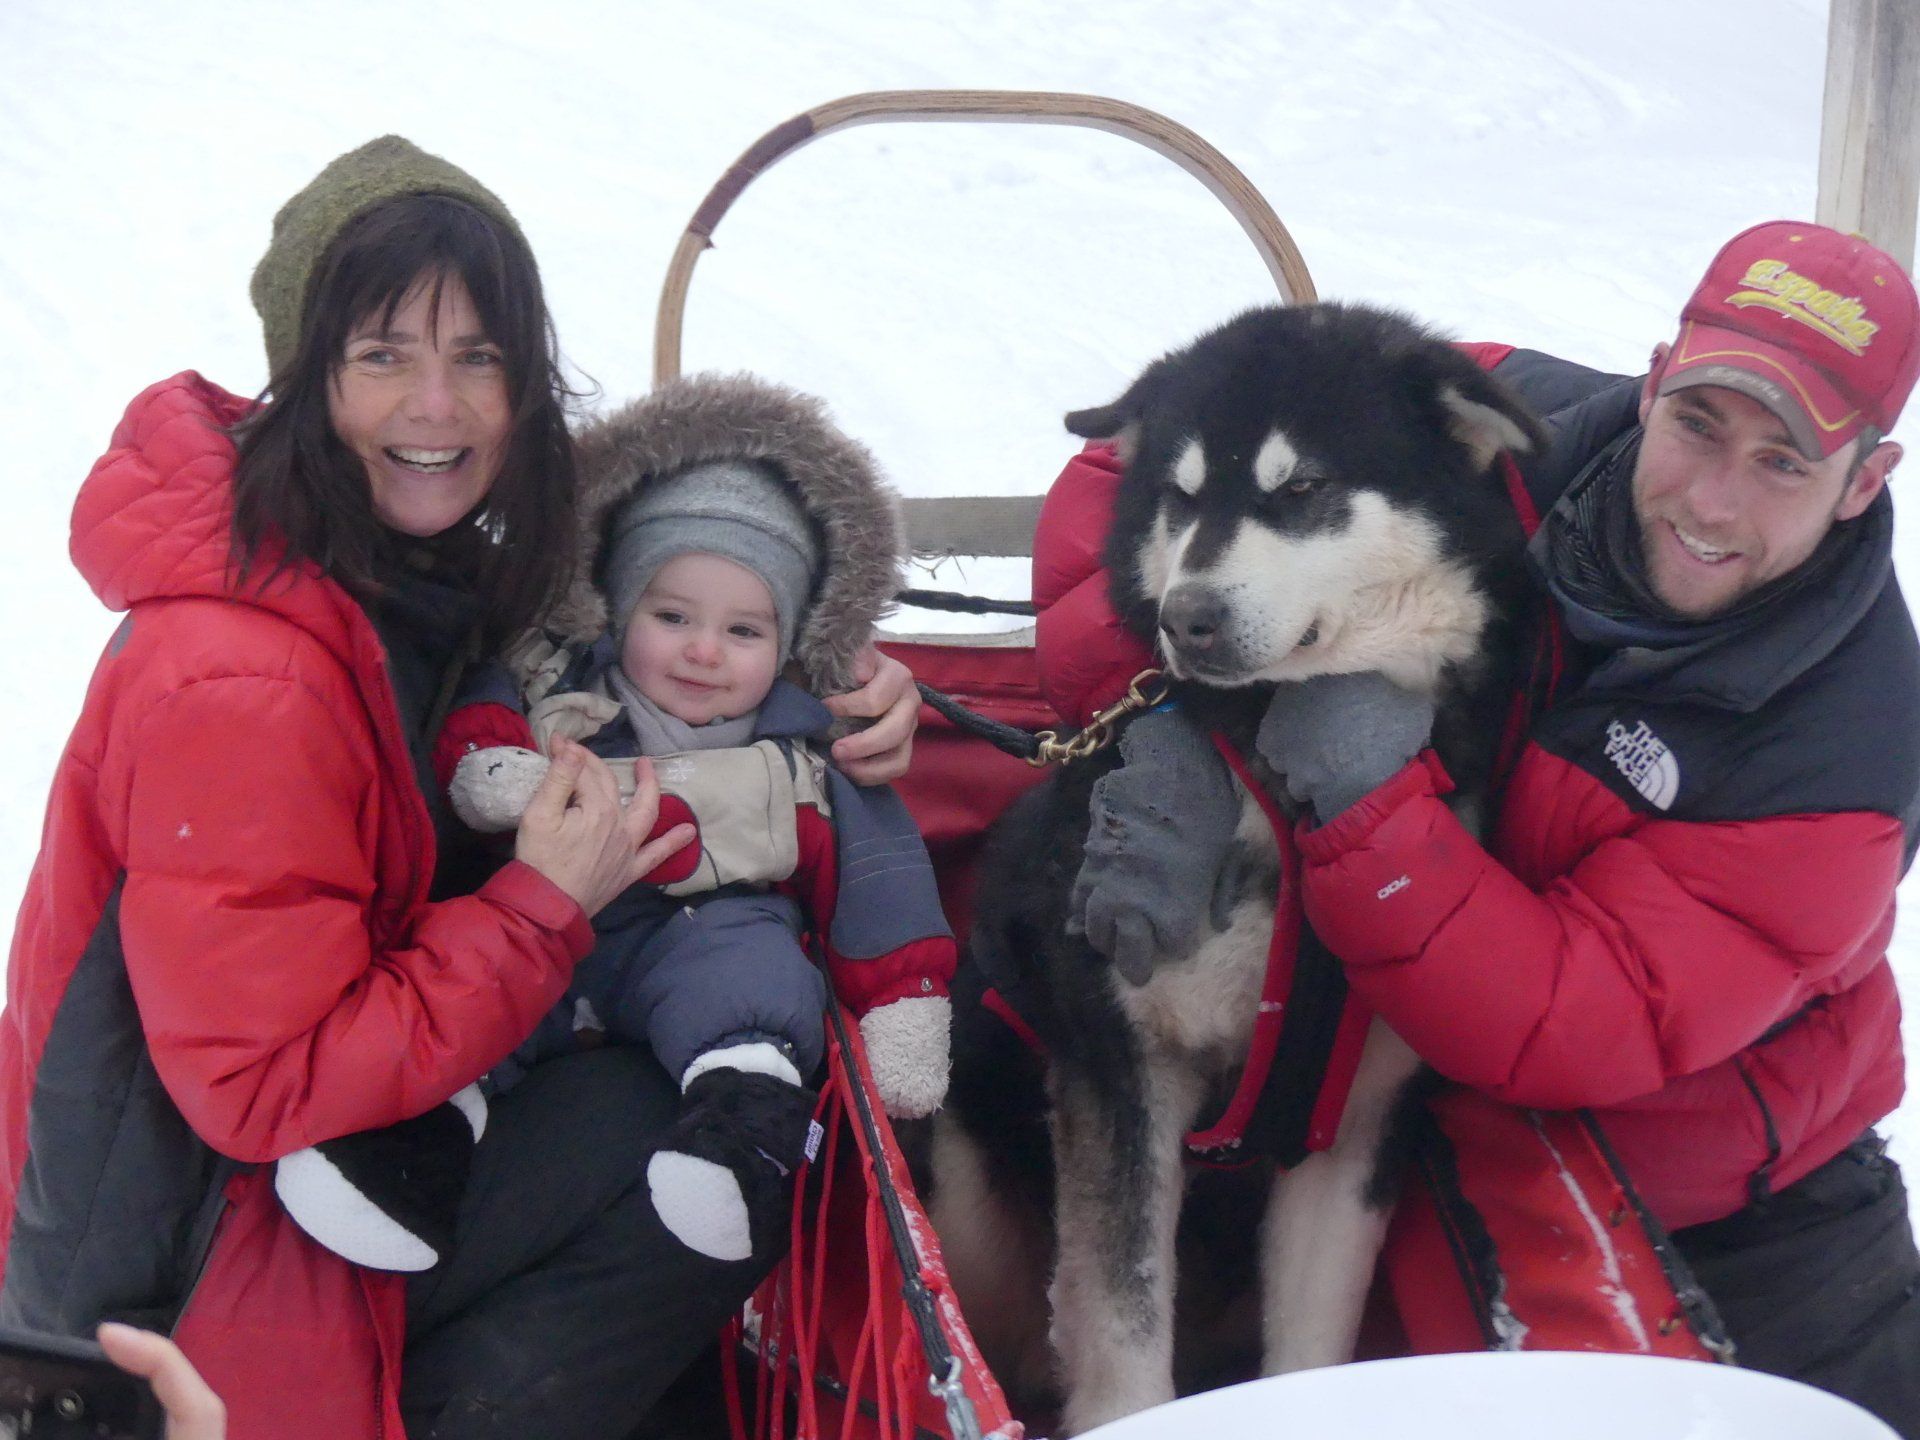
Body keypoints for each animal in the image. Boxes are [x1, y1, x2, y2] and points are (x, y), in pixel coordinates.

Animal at [929, 301, 1543, 1436]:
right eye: (1179, 495)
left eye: (1299, 489)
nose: (1188, 618)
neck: (1281, 796)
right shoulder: (1123, 1073)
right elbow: (1123, 1324)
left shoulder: (1356, 1118)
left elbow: (1311, 1343)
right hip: (970, 1176)